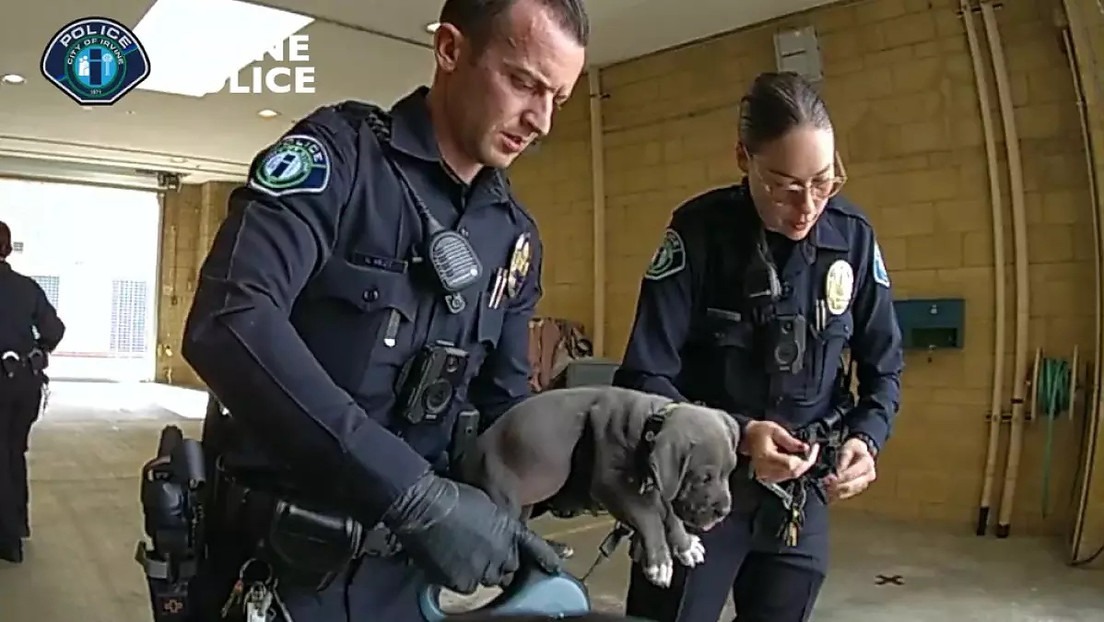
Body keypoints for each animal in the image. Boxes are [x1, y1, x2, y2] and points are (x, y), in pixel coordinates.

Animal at [457, 386, 741, 587]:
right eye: (704, 478)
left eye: (730, 471)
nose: (724, 511)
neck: (650, 425)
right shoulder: (611, 486)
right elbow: (649, 517)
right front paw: (660, 562)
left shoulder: (659, 483)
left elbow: (669, 511)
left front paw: (685, 544)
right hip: (503, 491)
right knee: (510, 526)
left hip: (529, 496)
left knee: (523, 524)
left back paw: (551, 548)